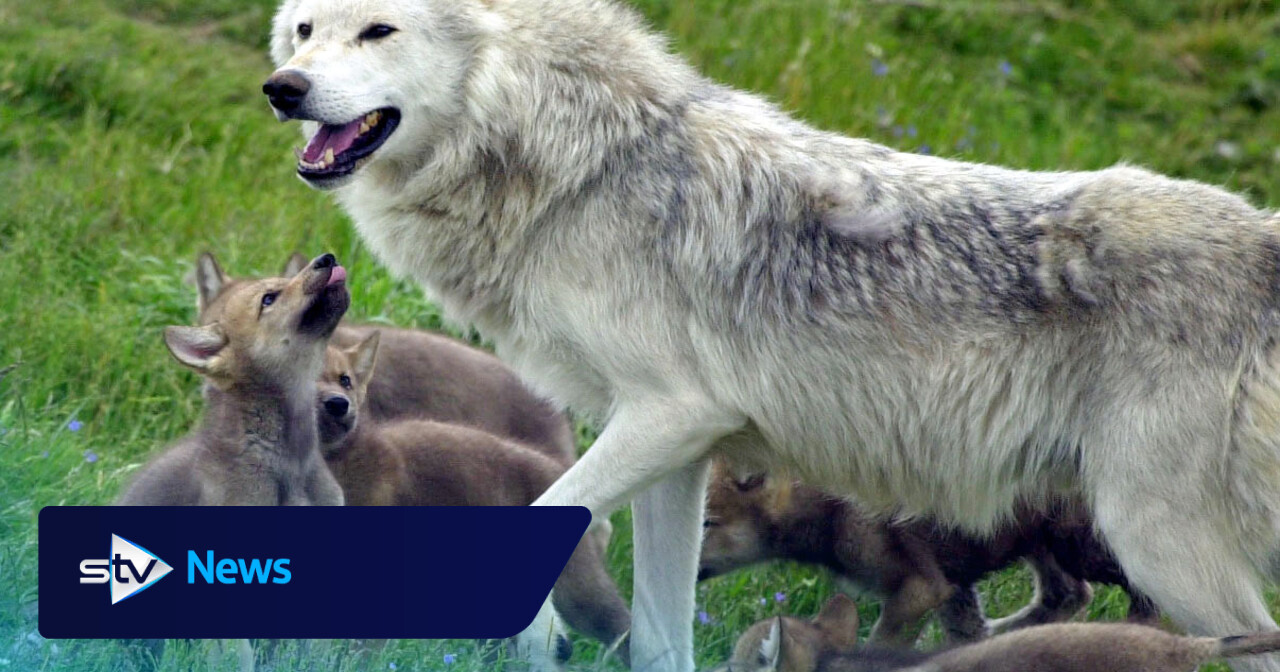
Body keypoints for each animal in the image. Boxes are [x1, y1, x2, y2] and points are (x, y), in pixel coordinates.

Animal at [317, 334, 631, 666]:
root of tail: (557, 468)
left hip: (578, 590)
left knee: (621, 627)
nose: (338, 404)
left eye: (345, 380)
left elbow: (358, 650)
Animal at [699, 462, 1156, 644]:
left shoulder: (918, 589)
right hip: (1037, 543)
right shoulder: (949, 584)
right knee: (1068, 595)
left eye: (707, 523)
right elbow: (966, 634)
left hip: (1081, 546)